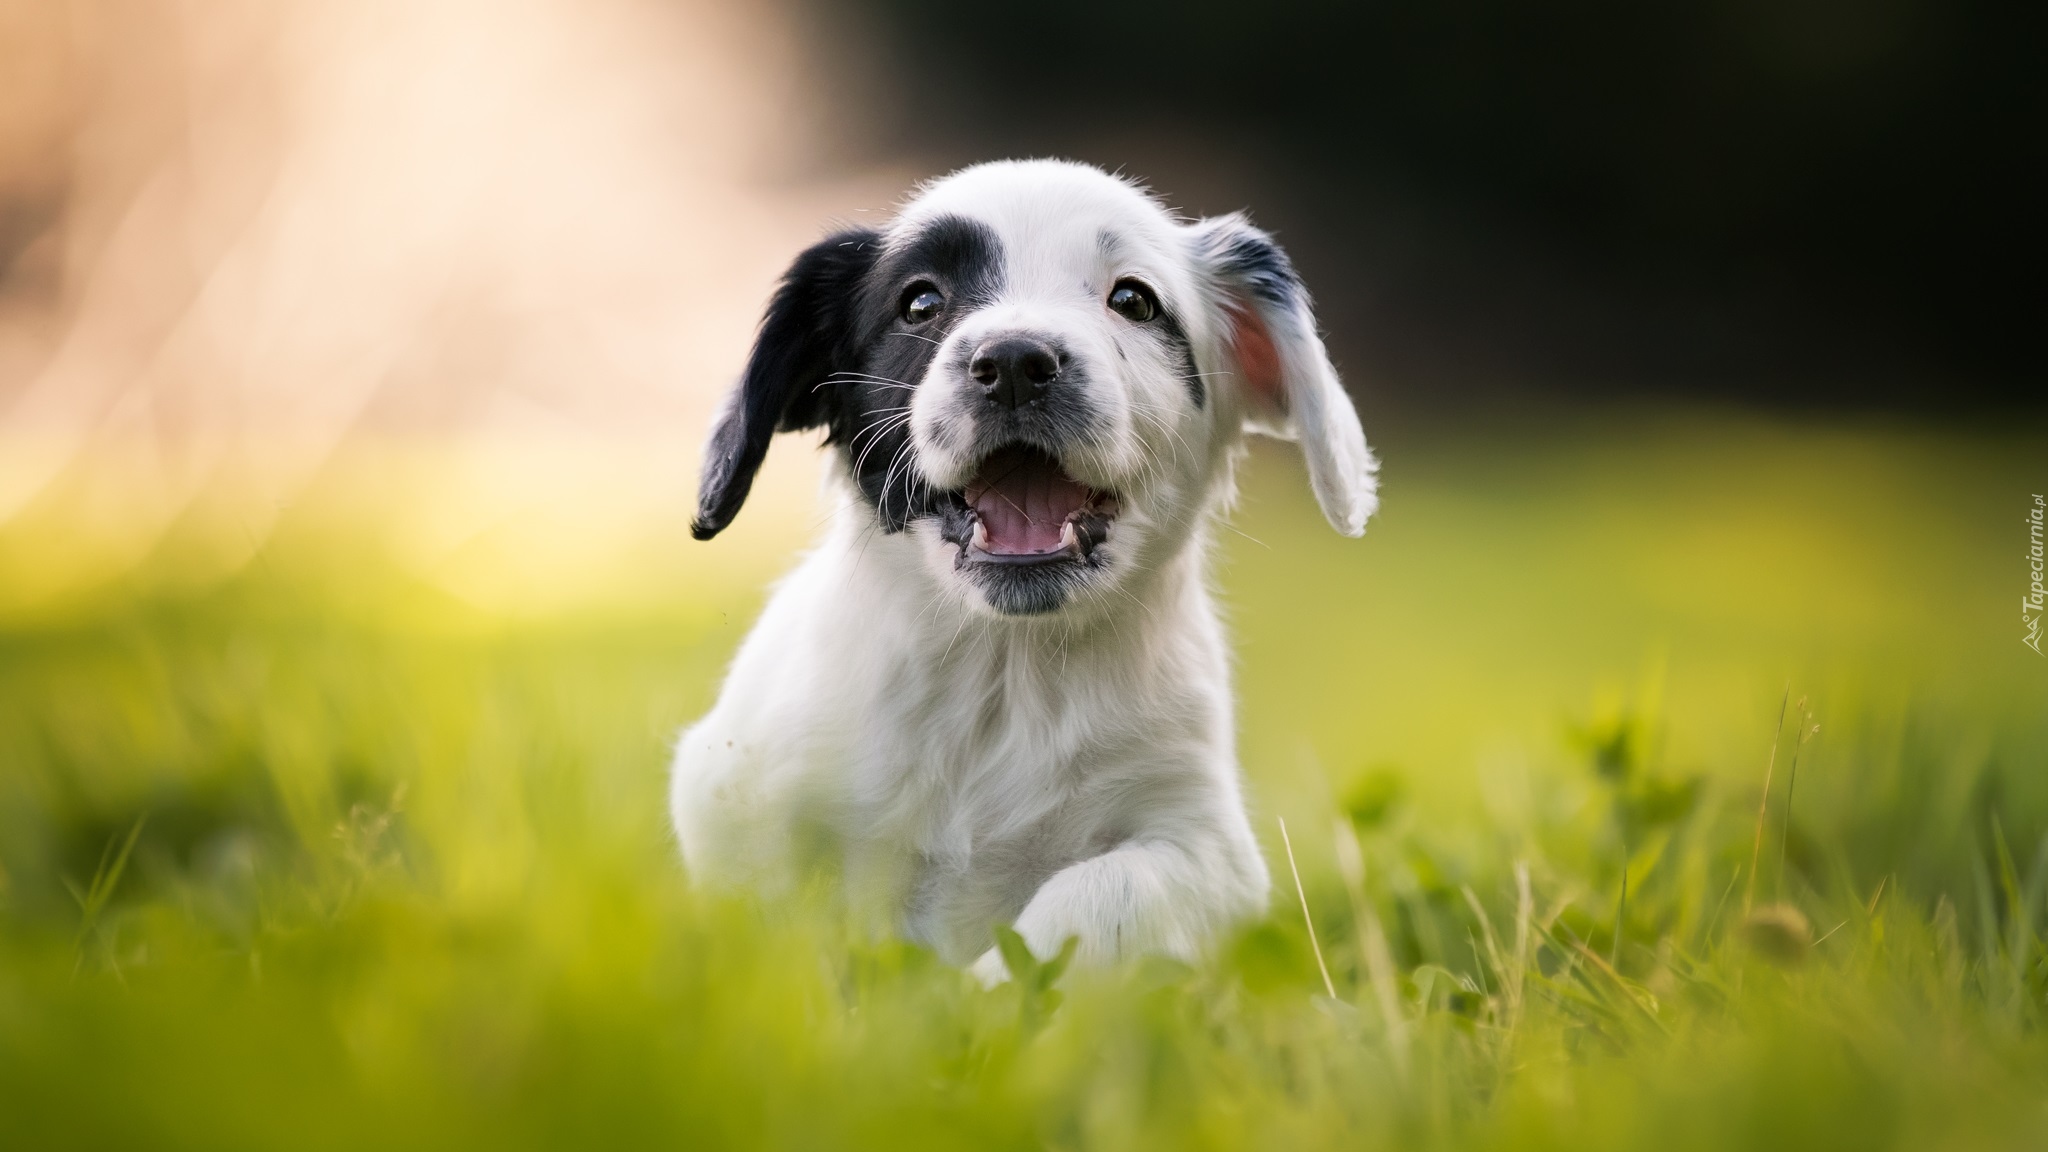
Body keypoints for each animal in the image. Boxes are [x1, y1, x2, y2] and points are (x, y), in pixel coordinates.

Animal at [671, 156, 1376, 975]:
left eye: (1134, 300)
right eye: (920, 301)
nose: (1013, 363)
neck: (1007, 672)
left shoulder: (1205, 849)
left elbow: (1092, 897)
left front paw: (975, 995)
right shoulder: (726, 792)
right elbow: (778, 929)